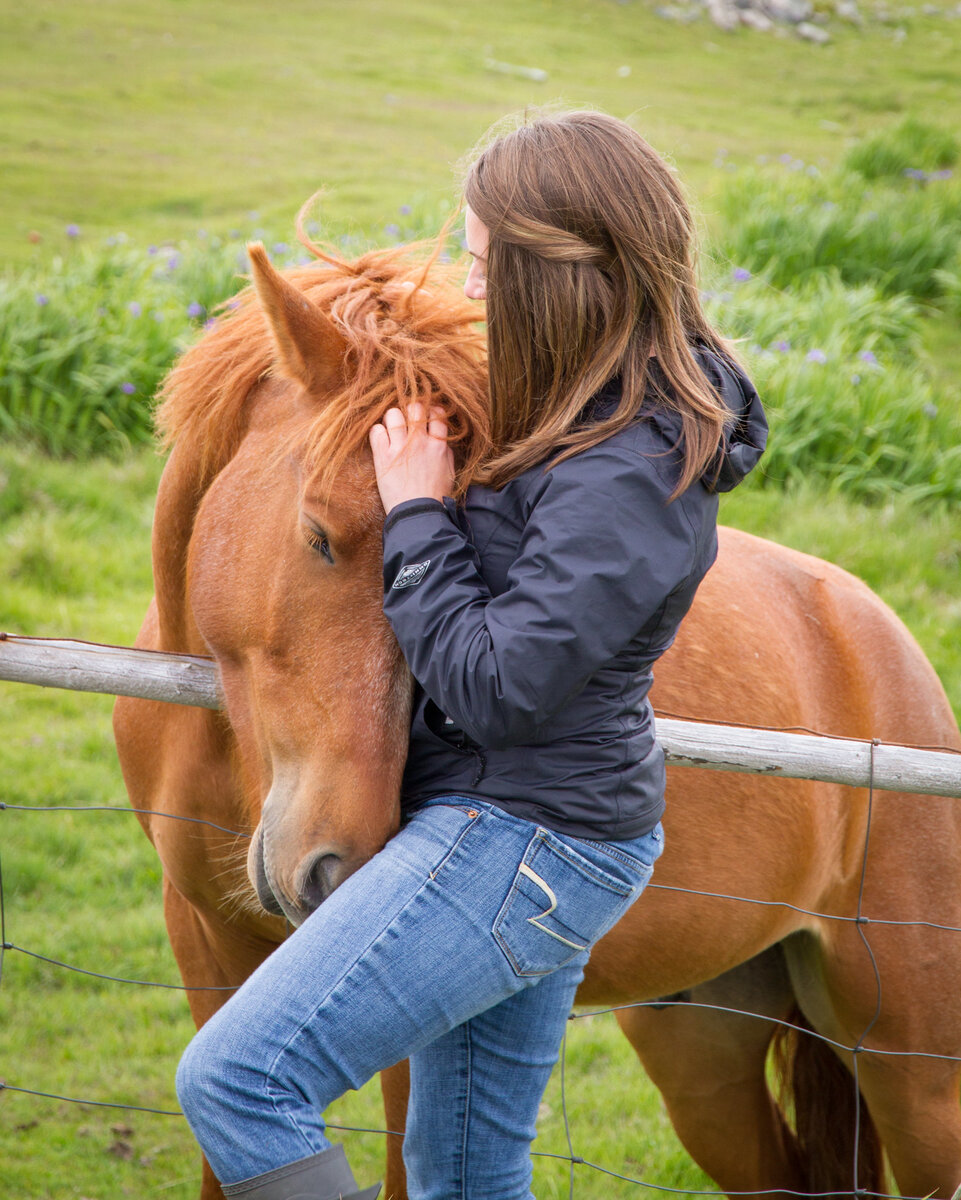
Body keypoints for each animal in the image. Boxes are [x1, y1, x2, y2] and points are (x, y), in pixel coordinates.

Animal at [114, 241, 959, 1200]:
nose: (345, 869)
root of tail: (885, 652)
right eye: (319, 536)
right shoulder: (205, 945)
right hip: (704, 1043)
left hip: (910, 1075)